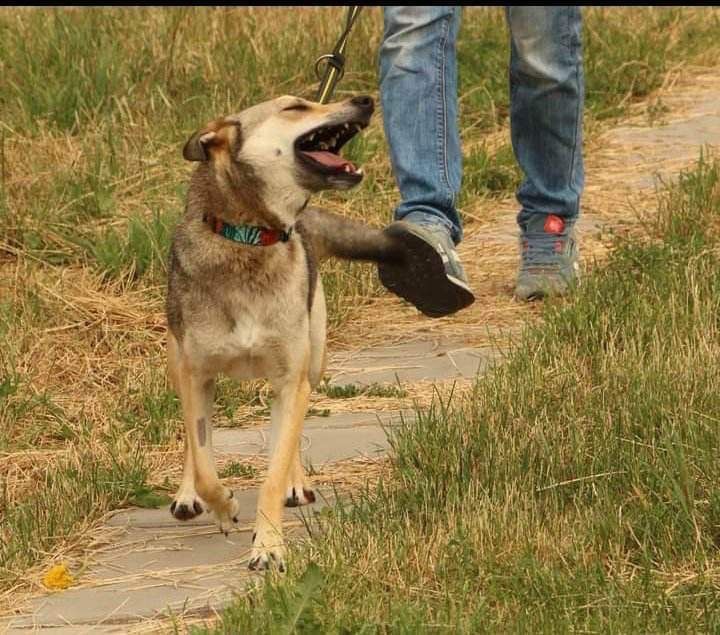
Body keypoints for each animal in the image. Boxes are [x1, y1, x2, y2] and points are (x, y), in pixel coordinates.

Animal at [165, 94, 400, 572]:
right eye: (295, 107)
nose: (363, 99)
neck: (250, 237)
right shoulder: (197, 376)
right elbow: (203, 462)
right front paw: (224, 506)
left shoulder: (291, 380)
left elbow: (273, 471)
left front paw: (268, 547)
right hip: (175, 361)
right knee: (193, 444)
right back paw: (187, 494)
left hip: (313, 358)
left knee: (287, 439)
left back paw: (294, 484)